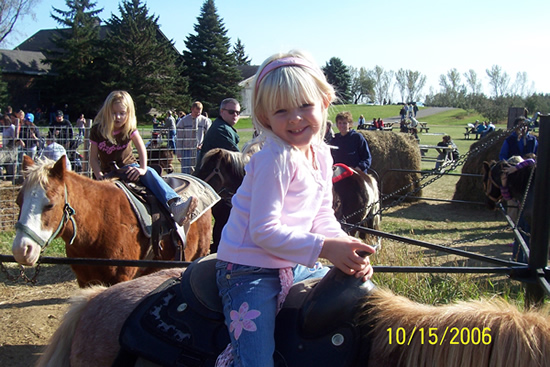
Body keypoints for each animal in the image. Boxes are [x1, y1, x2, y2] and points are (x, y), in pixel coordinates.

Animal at [12, 155, 213, 288]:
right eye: (18, 201)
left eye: (50, 204)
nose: (22, 250)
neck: (99, 225)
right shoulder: (84, 280)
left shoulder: (120, 278)